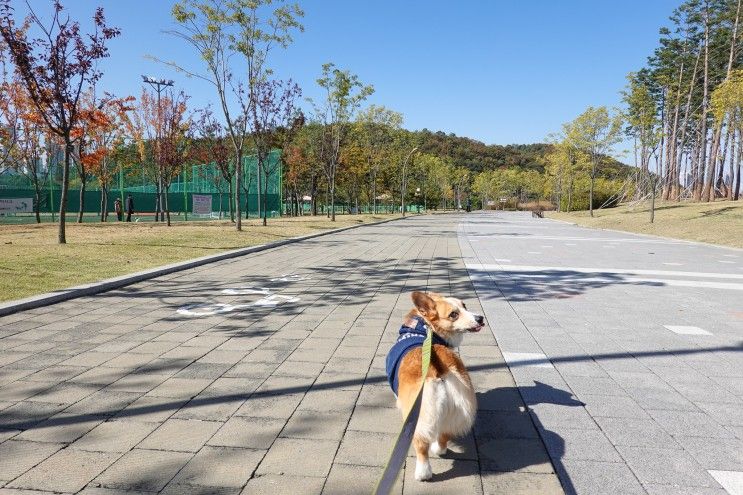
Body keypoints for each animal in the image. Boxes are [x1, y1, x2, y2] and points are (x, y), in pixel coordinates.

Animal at [386, 292, 486, 482]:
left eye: (464, 306)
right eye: (454, 313)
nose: (480, 318)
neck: (424, 329)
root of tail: (439, 368)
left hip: (418, 416)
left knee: (421, 445)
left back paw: (422, 473)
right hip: (456, 409)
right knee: (443, 436)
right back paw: (438, 449)